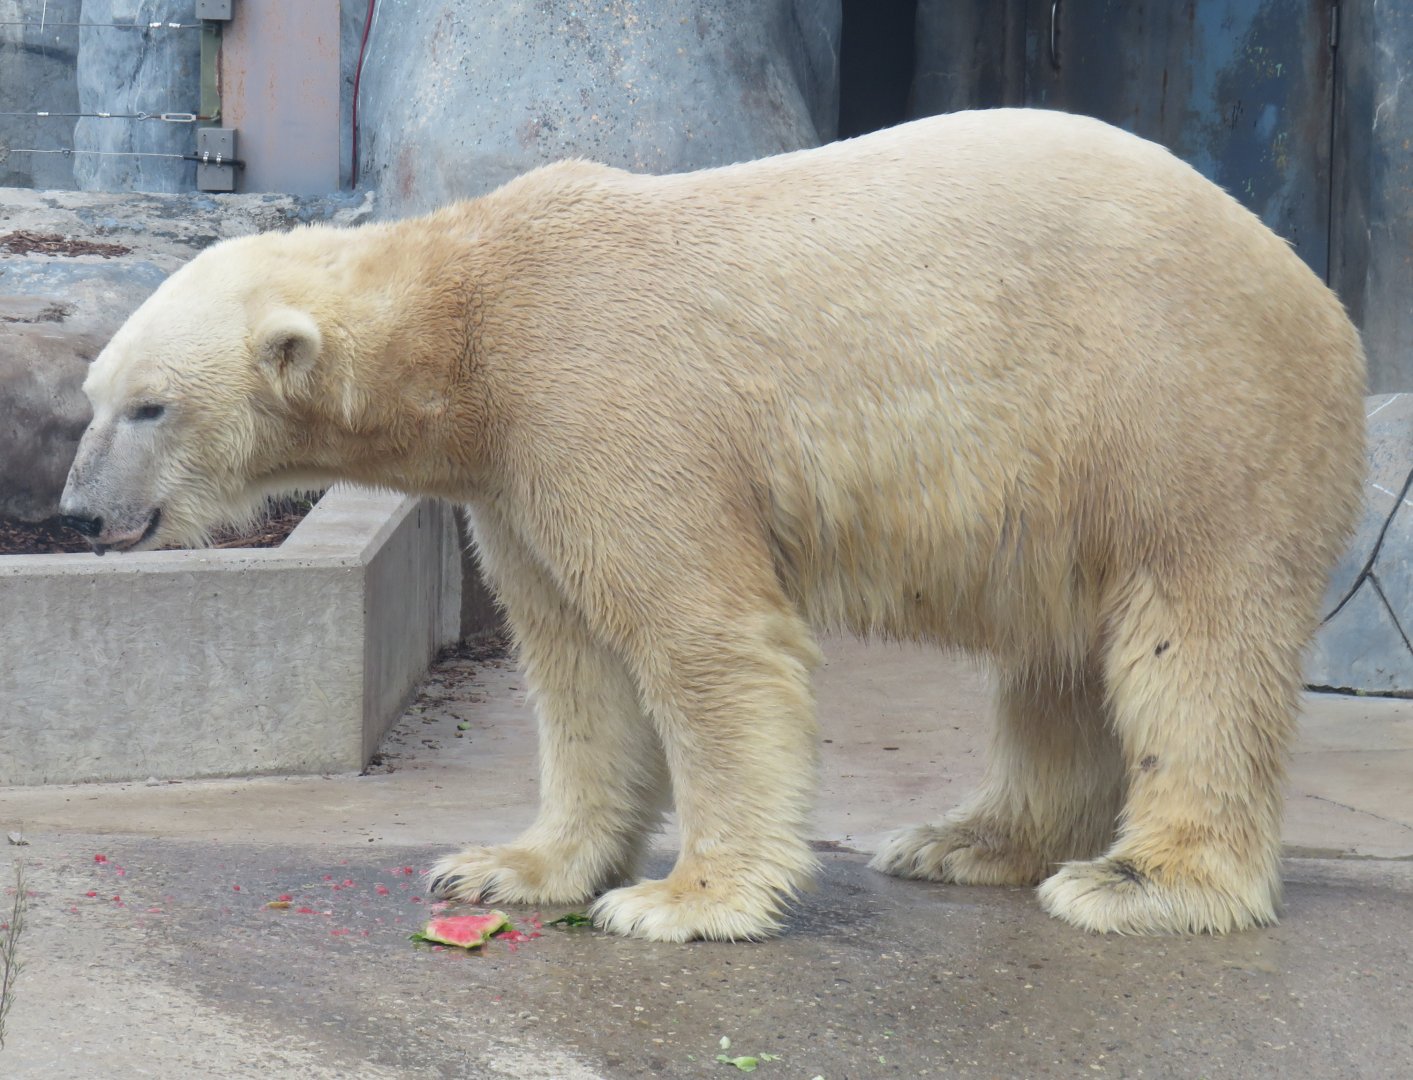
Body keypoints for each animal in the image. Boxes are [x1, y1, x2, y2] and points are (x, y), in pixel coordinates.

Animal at [60, 109, 1366, 943]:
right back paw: (964, 840)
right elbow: (575, 662)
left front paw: (683, 901)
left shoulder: (607, 399)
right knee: (1054, 661)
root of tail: (1318, 296)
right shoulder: (517, 475)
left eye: (150, 404)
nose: (78, 510)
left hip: (1178, 416)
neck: (474, 315)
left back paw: (1143, 883)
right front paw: (505, 865)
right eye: (89, 398)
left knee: (1192, 648)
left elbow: (704, 639)